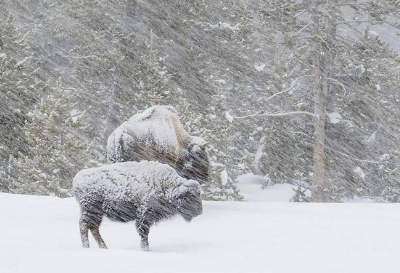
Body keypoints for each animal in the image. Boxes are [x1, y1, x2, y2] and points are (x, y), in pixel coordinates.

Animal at [72, 160, 203, 250]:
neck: (167, 186)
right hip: (91, 210)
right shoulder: (144, 214)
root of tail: (77, 178)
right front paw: (146, 249)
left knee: (93, 228)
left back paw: (104, 247)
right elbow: (144, 233)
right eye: (189, 197)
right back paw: (87, 247)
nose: (199, 212)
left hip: (97, 214)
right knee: (84, 225)